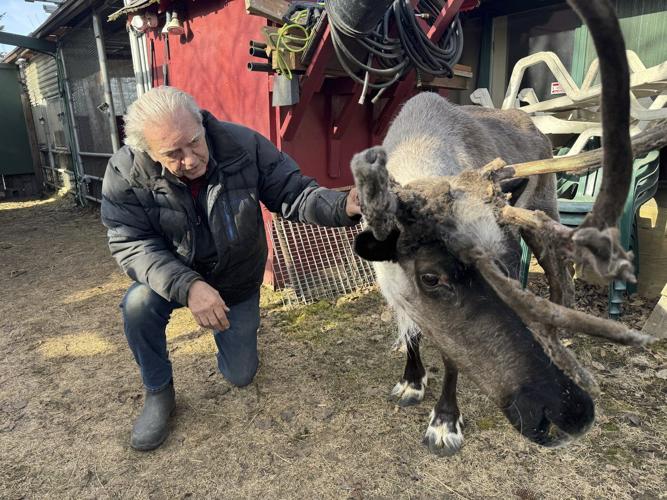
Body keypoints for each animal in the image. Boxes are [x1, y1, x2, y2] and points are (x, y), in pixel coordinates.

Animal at [350, 0, 665, 456]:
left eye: (504, 261)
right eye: (431, 276)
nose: (567, 414)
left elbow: (453, 358)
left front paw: (444, 421)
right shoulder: (392, 282)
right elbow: (413, 332)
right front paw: (411, 380)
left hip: (543, 217)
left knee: (560, 280)